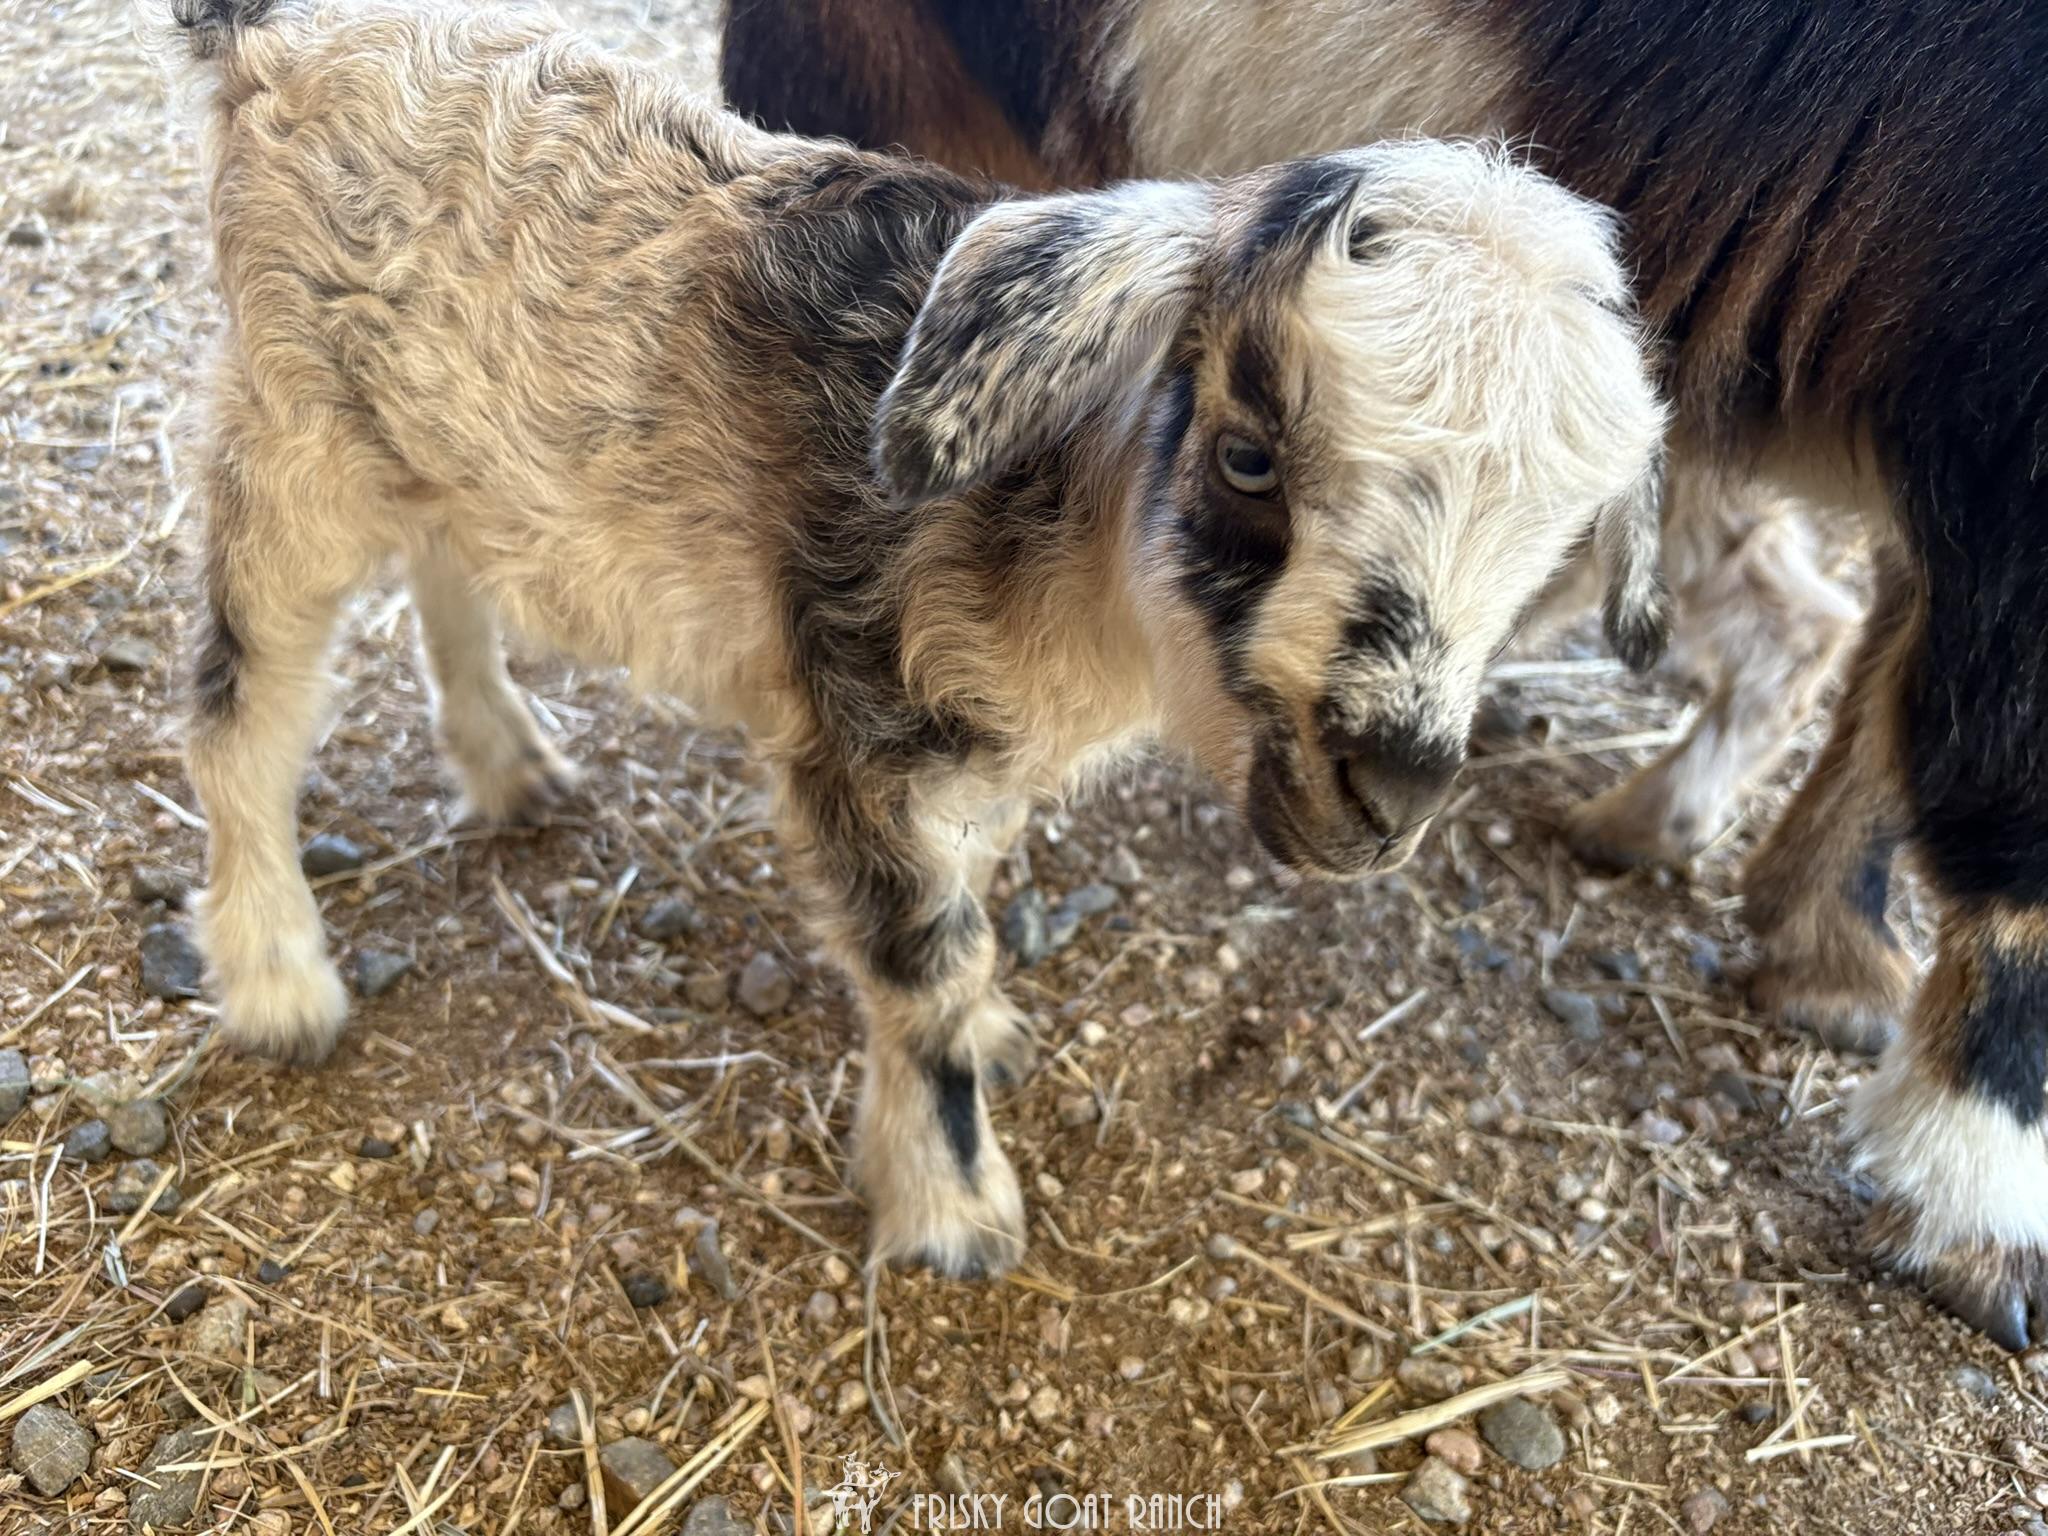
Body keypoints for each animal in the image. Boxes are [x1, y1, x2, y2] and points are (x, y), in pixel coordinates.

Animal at [157, 0, 1664, 1275]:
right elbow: (920, 969)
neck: (1051, 525)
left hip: (421, 434)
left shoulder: (965, 749)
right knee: (242, 710)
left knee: (443, 568)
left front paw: (983, 1046)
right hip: (290, 433)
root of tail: (273, 37)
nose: (1390, 785)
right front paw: (952, 1210)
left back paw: (506, 766)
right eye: (1246, 457)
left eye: (1556, 547)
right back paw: (278, 978)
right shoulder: (854, 722)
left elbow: (967, 911)